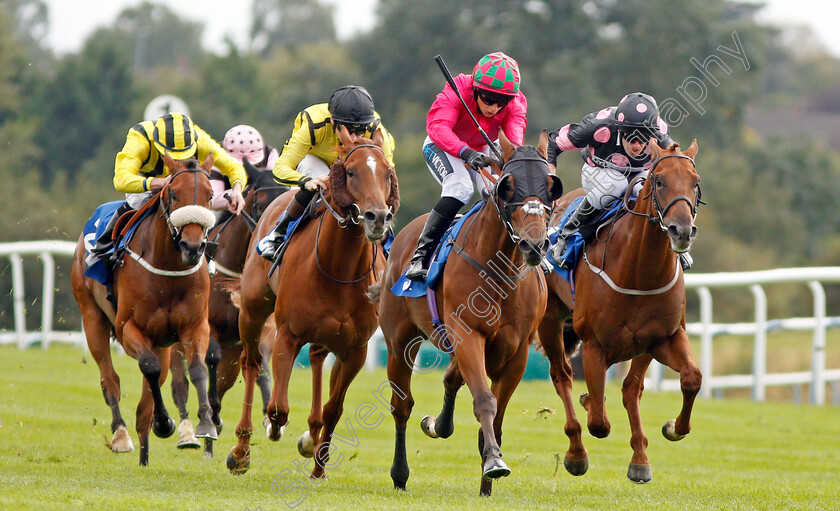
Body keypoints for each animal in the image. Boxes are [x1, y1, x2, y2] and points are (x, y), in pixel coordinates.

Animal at [70, 154, 218, 466]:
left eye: (211, 195)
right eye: (173, 194)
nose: (193, 246)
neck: (169, 267)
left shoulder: (195, 326)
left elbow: (196, 369)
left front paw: (206, 423)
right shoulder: (129, 328)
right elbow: (149, 367)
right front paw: (163, 422)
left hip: (162, 342)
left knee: (153, 387)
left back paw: (145, 454)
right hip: (91, 317)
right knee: (110, 379)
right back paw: (121, 436)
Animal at [170, 161, 288, 456]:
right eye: (258, 203)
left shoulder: (261, 328)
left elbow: (263, 365)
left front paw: (270, 418)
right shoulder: (207, 326)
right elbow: (210, 359)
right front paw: (212, 417)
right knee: (180, 382)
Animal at [226, 126, 400, 478]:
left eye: (387, 174)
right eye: (351, 172)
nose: (376, 217)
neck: (338, 268)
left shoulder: (356, 349)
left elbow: (335, 408)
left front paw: (318, 462)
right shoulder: (287, 334)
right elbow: (278, 407)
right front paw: (274, 429)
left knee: (318, 359)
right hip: (252, 310)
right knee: (251, 364)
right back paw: (241, 450)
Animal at [380, 131, 564, 496]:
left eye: (551, 186)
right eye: (509, 186)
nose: (534, 245)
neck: (501, 270)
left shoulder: (517, 351)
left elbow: (497, 413)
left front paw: (486, 483)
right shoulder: (468, 336)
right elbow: (484, 401)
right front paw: (494, 462)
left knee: (450, 379)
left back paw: (438, 424)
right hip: (399, 341)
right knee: (401, 405)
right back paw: (400, 473)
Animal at [548, 140, 704, 484]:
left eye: (695, 181)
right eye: (658, 181)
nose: (682, 231)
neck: (639, 271)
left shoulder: (664, 337)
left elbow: (691, 378)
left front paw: (673, 428)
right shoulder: (594, 344)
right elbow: (599, 423)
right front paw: (590, 408)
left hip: (641, 346)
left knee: (631, 389)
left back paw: (640, 460)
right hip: (548, 319)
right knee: (562, 375)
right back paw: (576, 453)